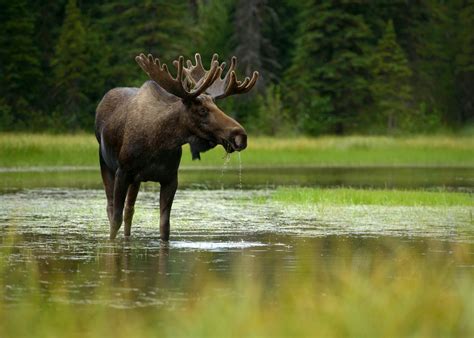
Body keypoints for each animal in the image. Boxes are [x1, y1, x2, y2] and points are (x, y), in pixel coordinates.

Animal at [94, 52, 260, 239]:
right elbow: (115, 220)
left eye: (216, 106)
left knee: (130, 210)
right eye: (202, 110)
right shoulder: (123, 172)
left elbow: (164, 225)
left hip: (135, 180)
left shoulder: (170, 178)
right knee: (111, 208)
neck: (159, 144)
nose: (240, 135)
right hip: (105, 162)